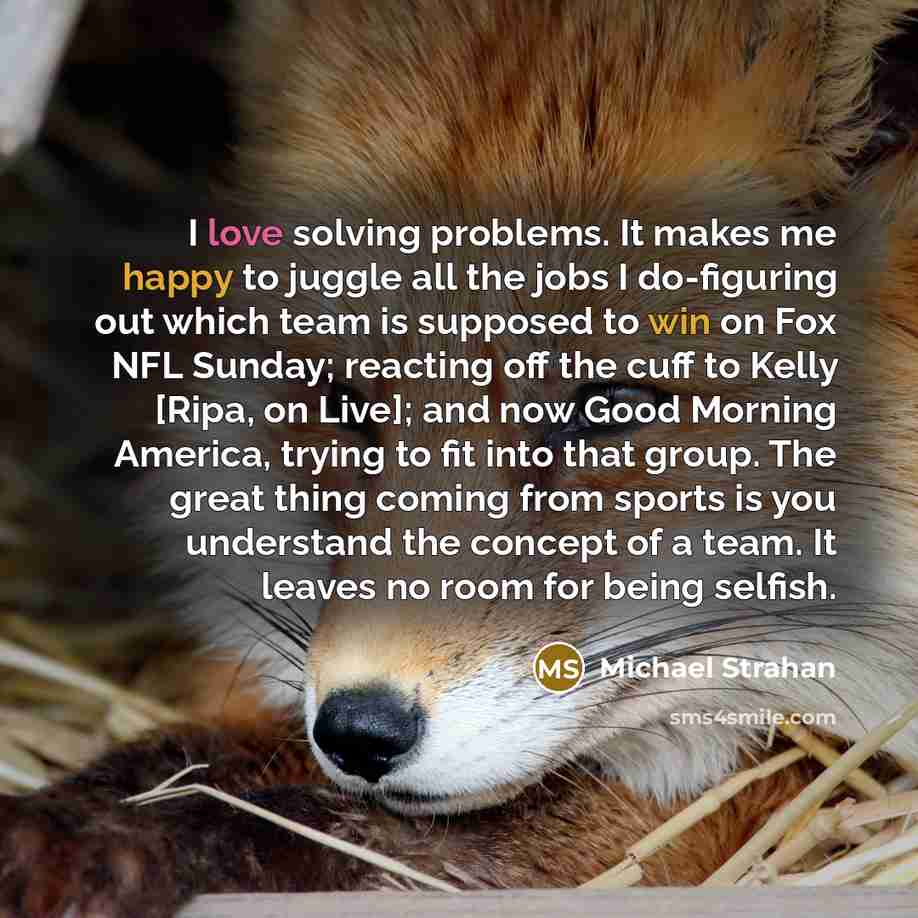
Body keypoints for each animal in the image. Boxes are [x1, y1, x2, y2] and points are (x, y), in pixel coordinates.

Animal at [4, 1, 918, 915]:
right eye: (347, 404)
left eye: (608, 408)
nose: (360, 730)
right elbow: (180, 764)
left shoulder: (726, 796)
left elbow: (320, 830)